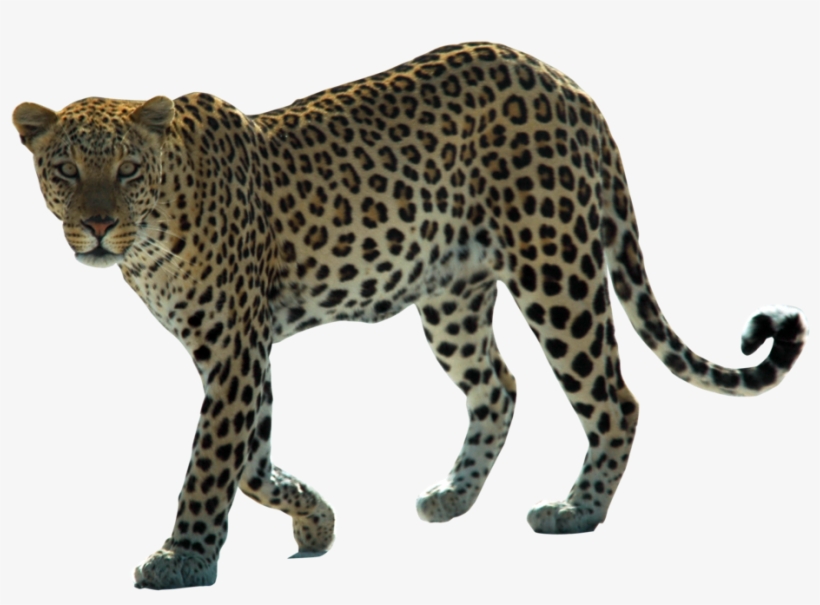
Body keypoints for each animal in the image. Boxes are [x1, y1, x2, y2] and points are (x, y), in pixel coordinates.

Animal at [12, 42, 807, 590]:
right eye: (65, 171)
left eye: (127, 171)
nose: (97, 228)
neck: (154, 233)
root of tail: (565, 81)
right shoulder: (244, 351)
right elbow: (252, 461)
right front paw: (316, 519)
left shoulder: (234, 349)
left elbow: (211, 463)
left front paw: (183, 556)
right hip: (451, 297)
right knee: (499, 386)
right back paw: (453, 495)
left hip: (557, 269)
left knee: (614, 396)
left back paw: (576, 511)